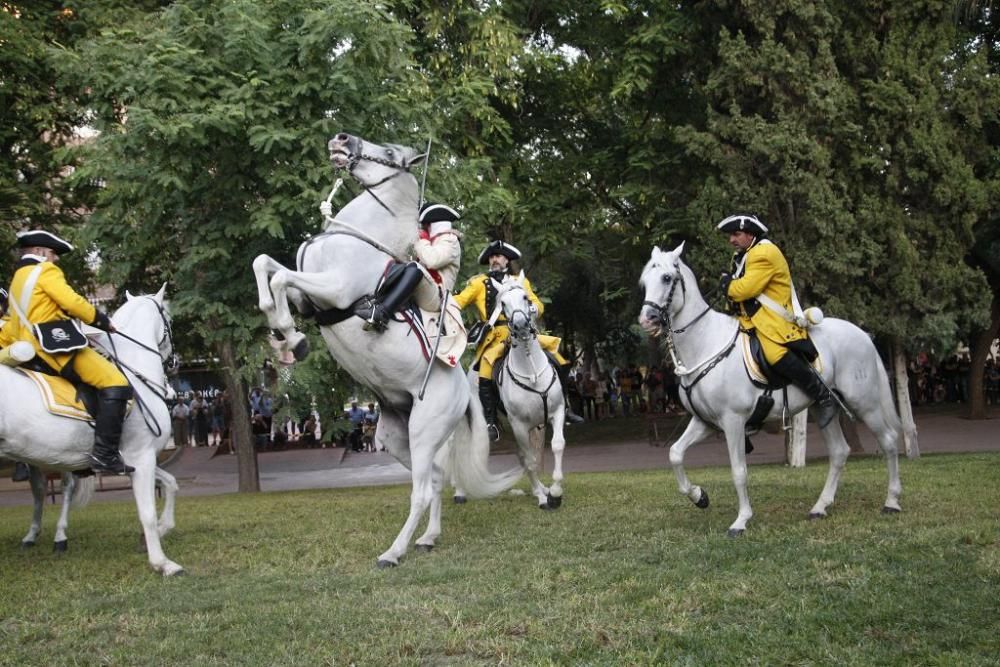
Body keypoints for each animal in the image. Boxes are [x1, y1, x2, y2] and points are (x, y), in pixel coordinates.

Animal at [0, 290, 184, 576]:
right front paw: (162, 562)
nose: (176, 362)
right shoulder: (142, 456)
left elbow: (170, 483)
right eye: (170, 320)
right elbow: (147, 513)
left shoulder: (131, 459)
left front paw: (162, 530)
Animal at [252, 132, 524, 568]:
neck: (352, 237)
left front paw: (292, 337)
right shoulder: (307, 297)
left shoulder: (333, 289)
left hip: (424, 430)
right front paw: (285, 336)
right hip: (397, 436)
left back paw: (394, 552)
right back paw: (428, 538)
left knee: (423, 490)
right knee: (434, 479)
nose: (341, 138)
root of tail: (464, 393)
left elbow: (277, 281)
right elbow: (267, 267)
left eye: (392, 151)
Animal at [490, 276, 564, 512]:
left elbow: (557, 445)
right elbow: (531, 461)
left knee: (523, 457)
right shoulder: (519, 425)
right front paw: (542, 498)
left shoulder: (558, 412)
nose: (521, 325)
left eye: (526, 297)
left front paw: (555, 492)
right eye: (502, 303)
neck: (531, 370)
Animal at [640, 245, 908, 536]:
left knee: (889, 441)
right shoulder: (704, 422)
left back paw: (892, 502)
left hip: (865, 404)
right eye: (644, 282)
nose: (647, 320)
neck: (705, 343)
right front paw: (699, 496)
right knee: (839, 452)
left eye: (667, 278)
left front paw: (741, 520)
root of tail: (863, 335)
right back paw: (820, 507)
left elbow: (738, 471)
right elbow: (675, 454)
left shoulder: (733, 421)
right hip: (823, 407)